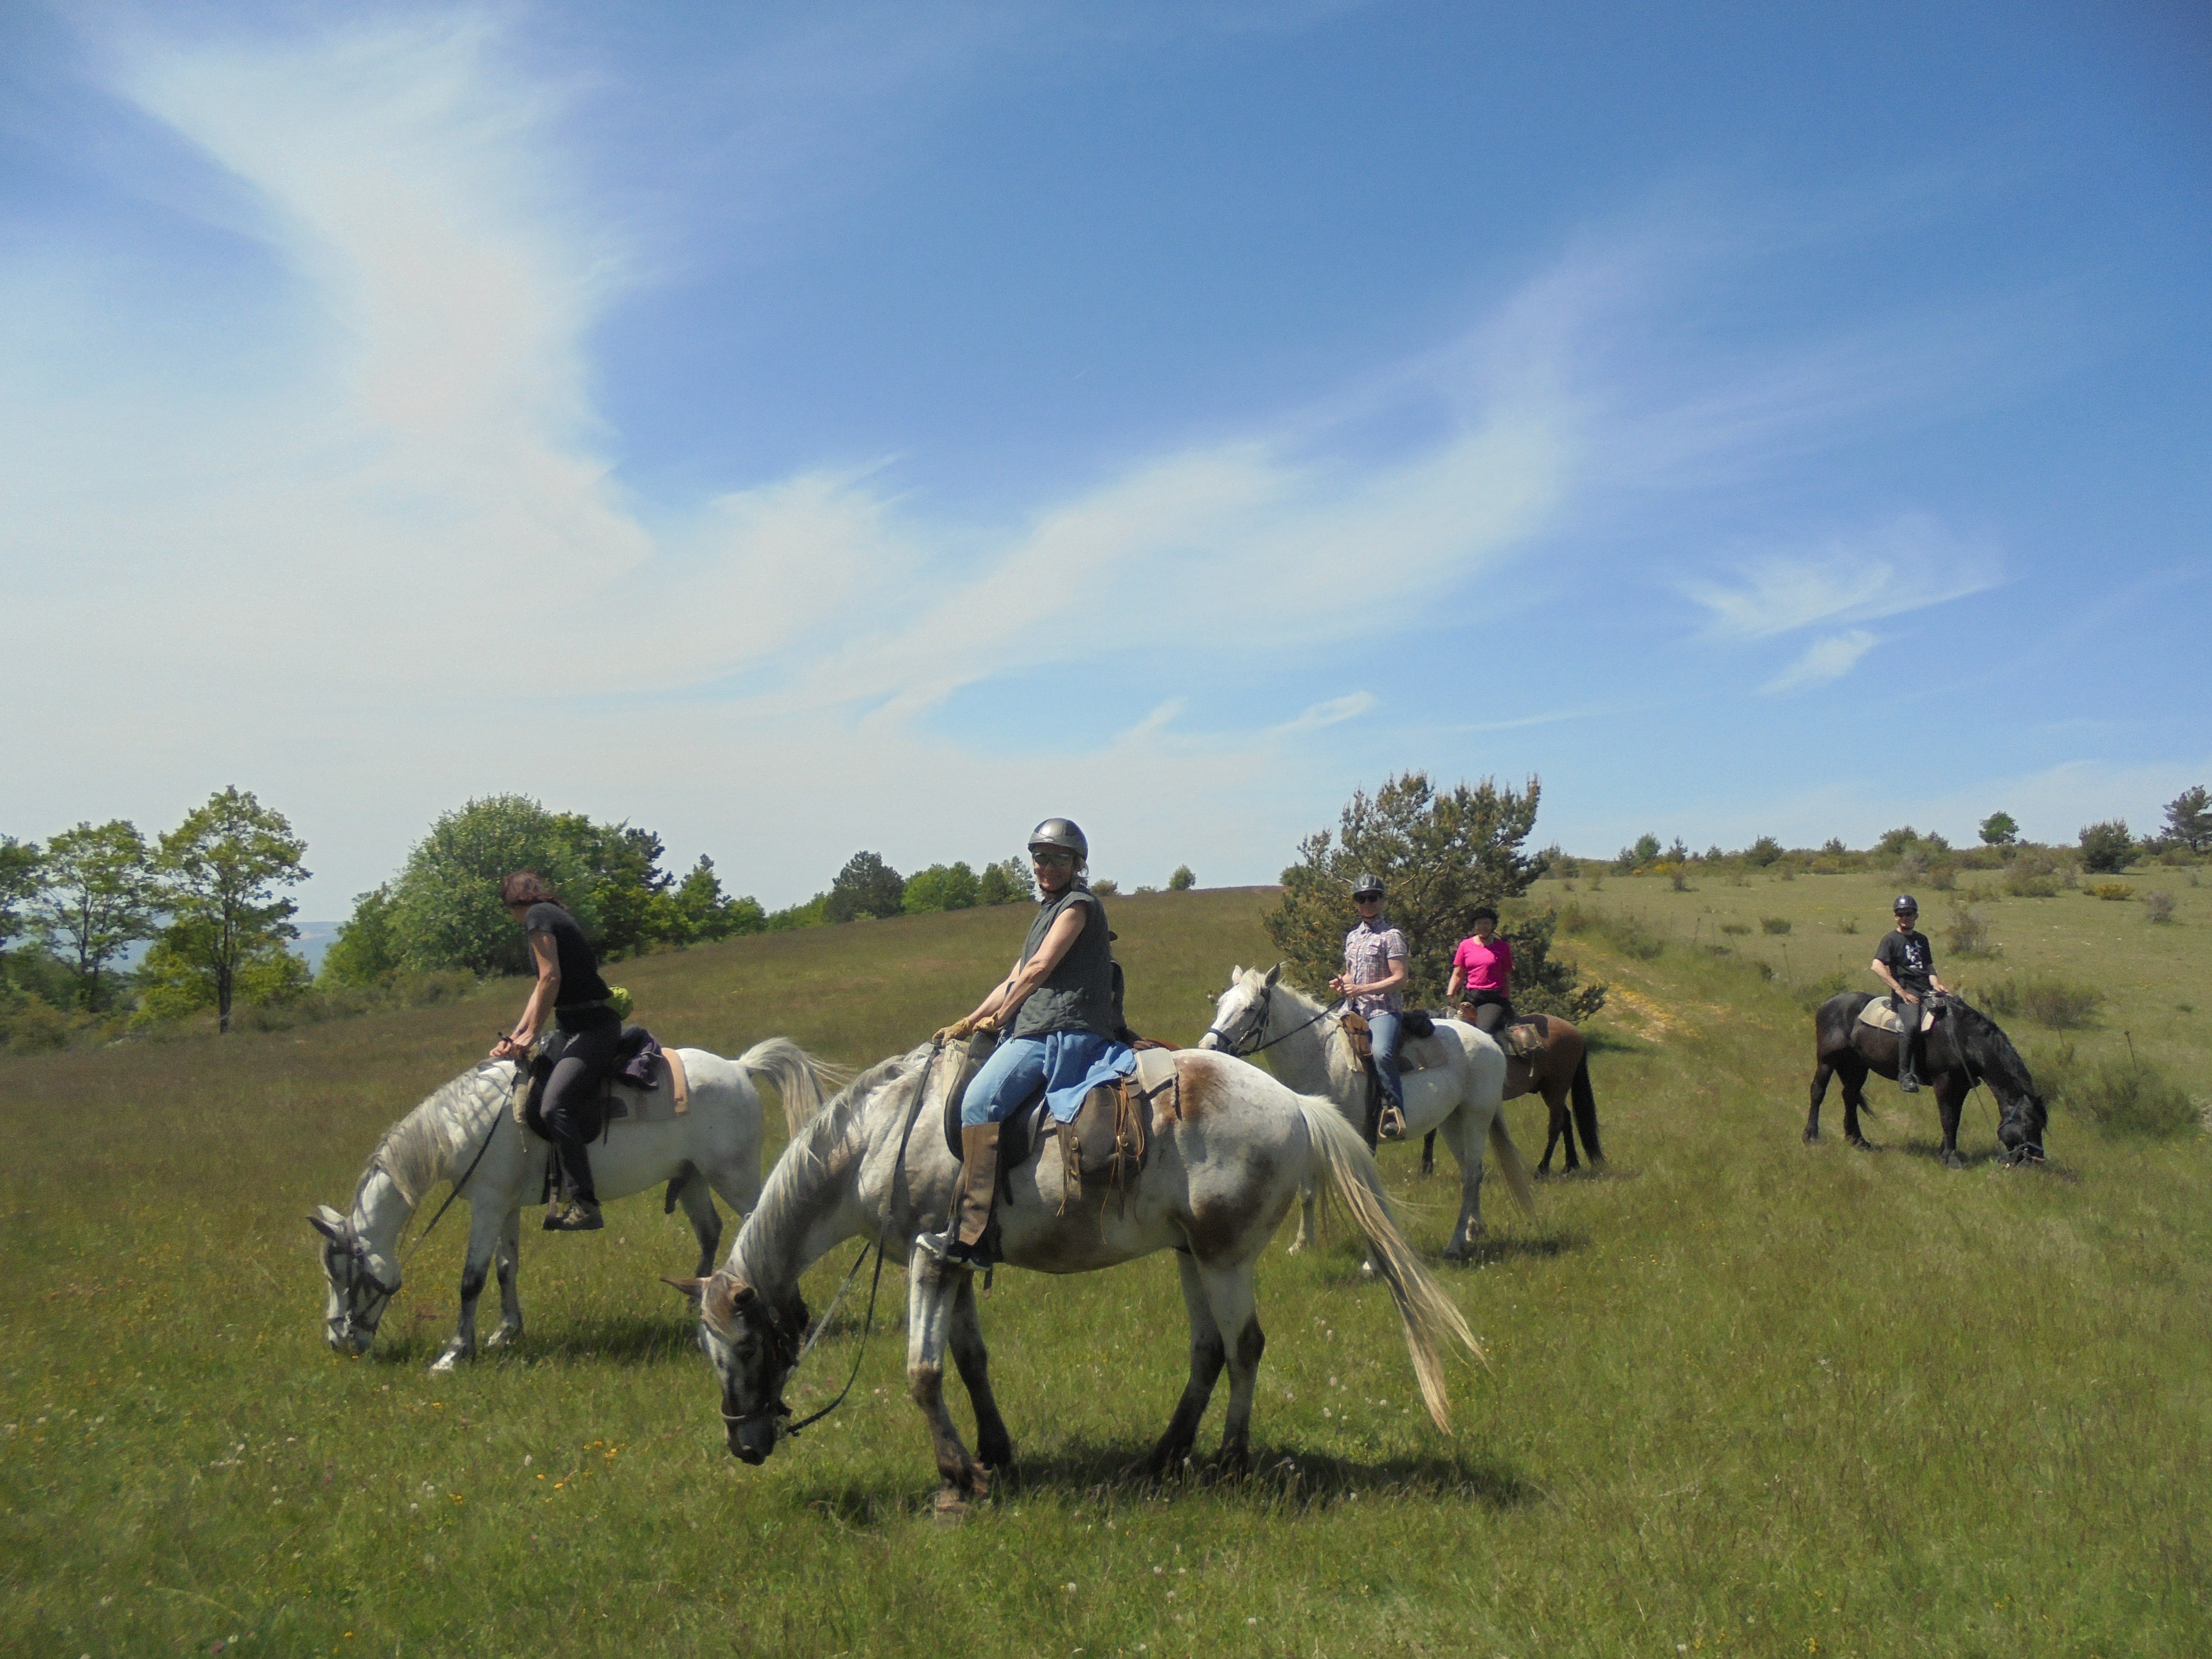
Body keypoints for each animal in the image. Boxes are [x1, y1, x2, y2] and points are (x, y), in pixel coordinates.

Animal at [311, 1038, 847, 1372]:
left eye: (343, 1275)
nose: (338, 1342)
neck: (467, 1125)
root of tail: (739, 1067)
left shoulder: (486, 1204)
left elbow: (472, 1280)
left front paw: (454, 1354)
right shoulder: (504, 1205)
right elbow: (506, 1269)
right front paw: (506, 1332)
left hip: (732, 1175)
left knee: (769, 1228)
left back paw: (792, 1322)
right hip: (694, 1177)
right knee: (711, 1231)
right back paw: (700, 1309)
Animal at [676, 1038, 1481, 1506]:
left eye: (746, 1345)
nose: (743, 1444)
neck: (882, 1136)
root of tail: (1296, 1103)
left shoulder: (928, 1258)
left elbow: (922, 1372)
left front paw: (957, 1477)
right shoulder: (954, 1263)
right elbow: (968, 1360)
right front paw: (995, 1451)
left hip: (1224, 1258)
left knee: (1244, 1346)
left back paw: (1229, 1460)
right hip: (1190, 1256)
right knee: (1209, 1351)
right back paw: (1162, 1457)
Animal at [1197, 965, 1534, 1261]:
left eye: (1251, 1008)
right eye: (1221, 1003)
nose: (1208, 1047)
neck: (1321, 1056)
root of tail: (1490, 1041)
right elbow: (1307, 1192)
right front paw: (1301, 1246)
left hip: (1477, 1118)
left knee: (1471, 1176)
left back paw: (1454, 1244)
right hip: (1453, 1122)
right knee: (1472, 1173)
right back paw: (1471, 1232)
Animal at [1418, 1010, 1604, 1176]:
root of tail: (1576, 1033)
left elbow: (1431, 1132)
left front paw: (1426, 1168)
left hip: (1555, 1089)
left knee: (1556, 1125)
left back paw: (1543, 1169)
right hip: (1552, 1092)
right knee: (1566, 1118)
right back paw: (1570, 1165)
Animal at [1807, 992, 2047, 1167]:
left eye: (2042, 1126)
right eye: (2029, 1124)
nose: (2036, 1161)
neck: (1963, 1037)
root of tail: (1829, 1003)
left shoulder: (1961, 1086)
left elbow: (1955, 1118)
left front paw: (1944, 1153)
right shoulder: (1945, 1081)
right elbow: (1948, 1118)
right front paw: (1951, 1159)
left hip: (1857, 1065)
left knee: (1850, 1096)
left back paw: (1857, 1140)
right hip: (1827, 1060)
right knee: (1818, 1092)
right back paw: (1811, 1136)